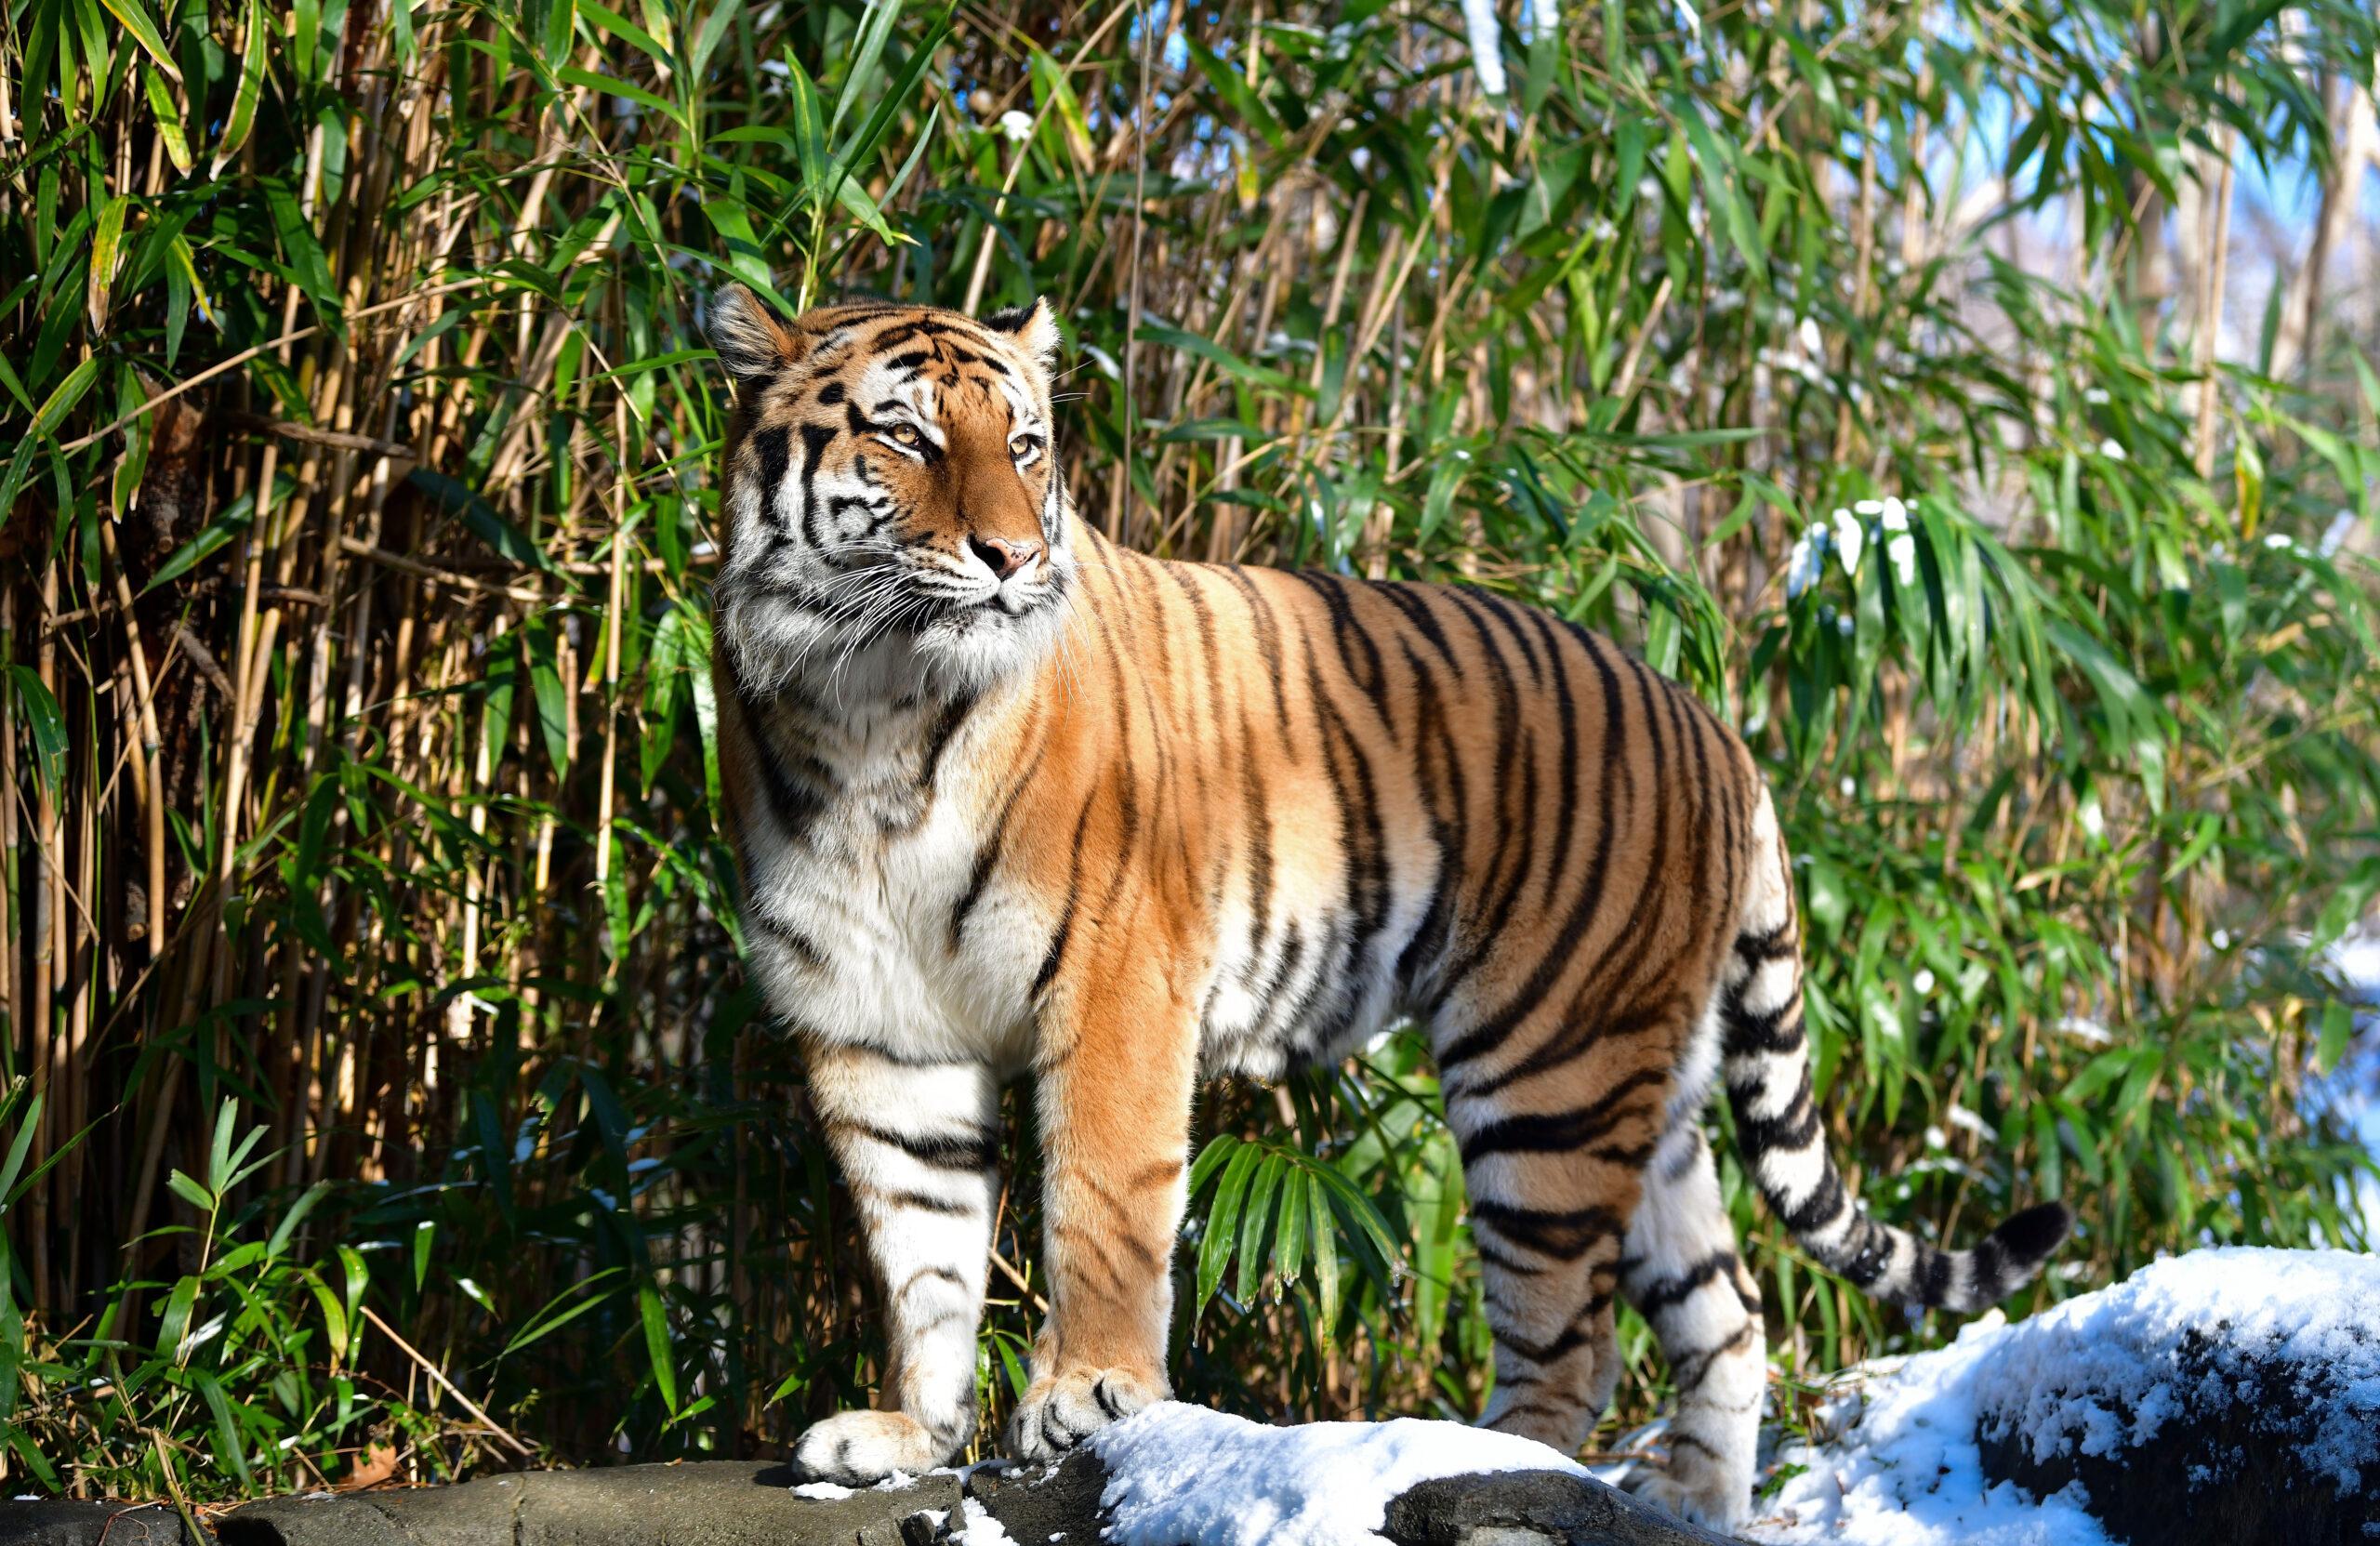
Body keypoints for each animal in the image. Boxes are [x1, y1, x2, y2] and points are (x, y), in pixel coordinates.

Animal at [699, 283, 2066, 1522]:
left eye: (1024, 444)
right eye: (911, 438)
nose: (1014, 556)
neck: (870, 707)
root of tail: (1719, 727)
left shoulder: (1118, 983)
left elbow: (1103, 1203)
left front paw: (1087, 1394)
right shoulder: (880, 1027)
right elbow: (920, 1248)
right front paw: (906, 1434)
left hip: (1547, 1074)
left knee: (1574, 1338)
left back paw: (1487, 1459)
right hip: (1650, 1084)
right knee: (1726, 1312)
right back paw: (1693, 1501)